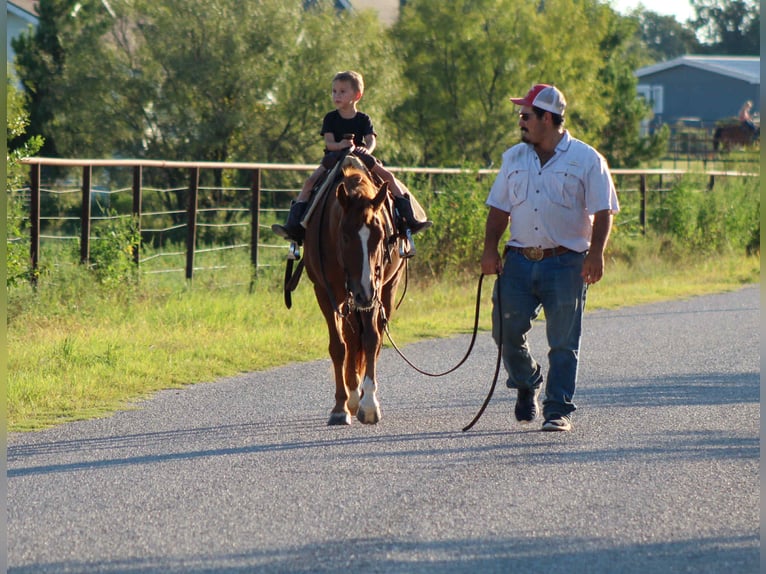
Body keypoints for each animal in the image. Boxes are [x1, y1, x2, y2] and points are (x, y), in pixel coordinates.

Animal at [302, 157, 405, 425]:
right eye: (345, 236)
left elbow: (371, 340)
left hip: (386, 290)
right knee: (350, 339)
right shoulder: (325, 293)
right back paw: (351, 395)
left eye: (381, 236)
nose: (364, 293)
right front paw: (340, 407)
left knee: (373, 339)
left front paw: (369, 405)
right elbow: (338, 347)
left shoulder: (374, 292)